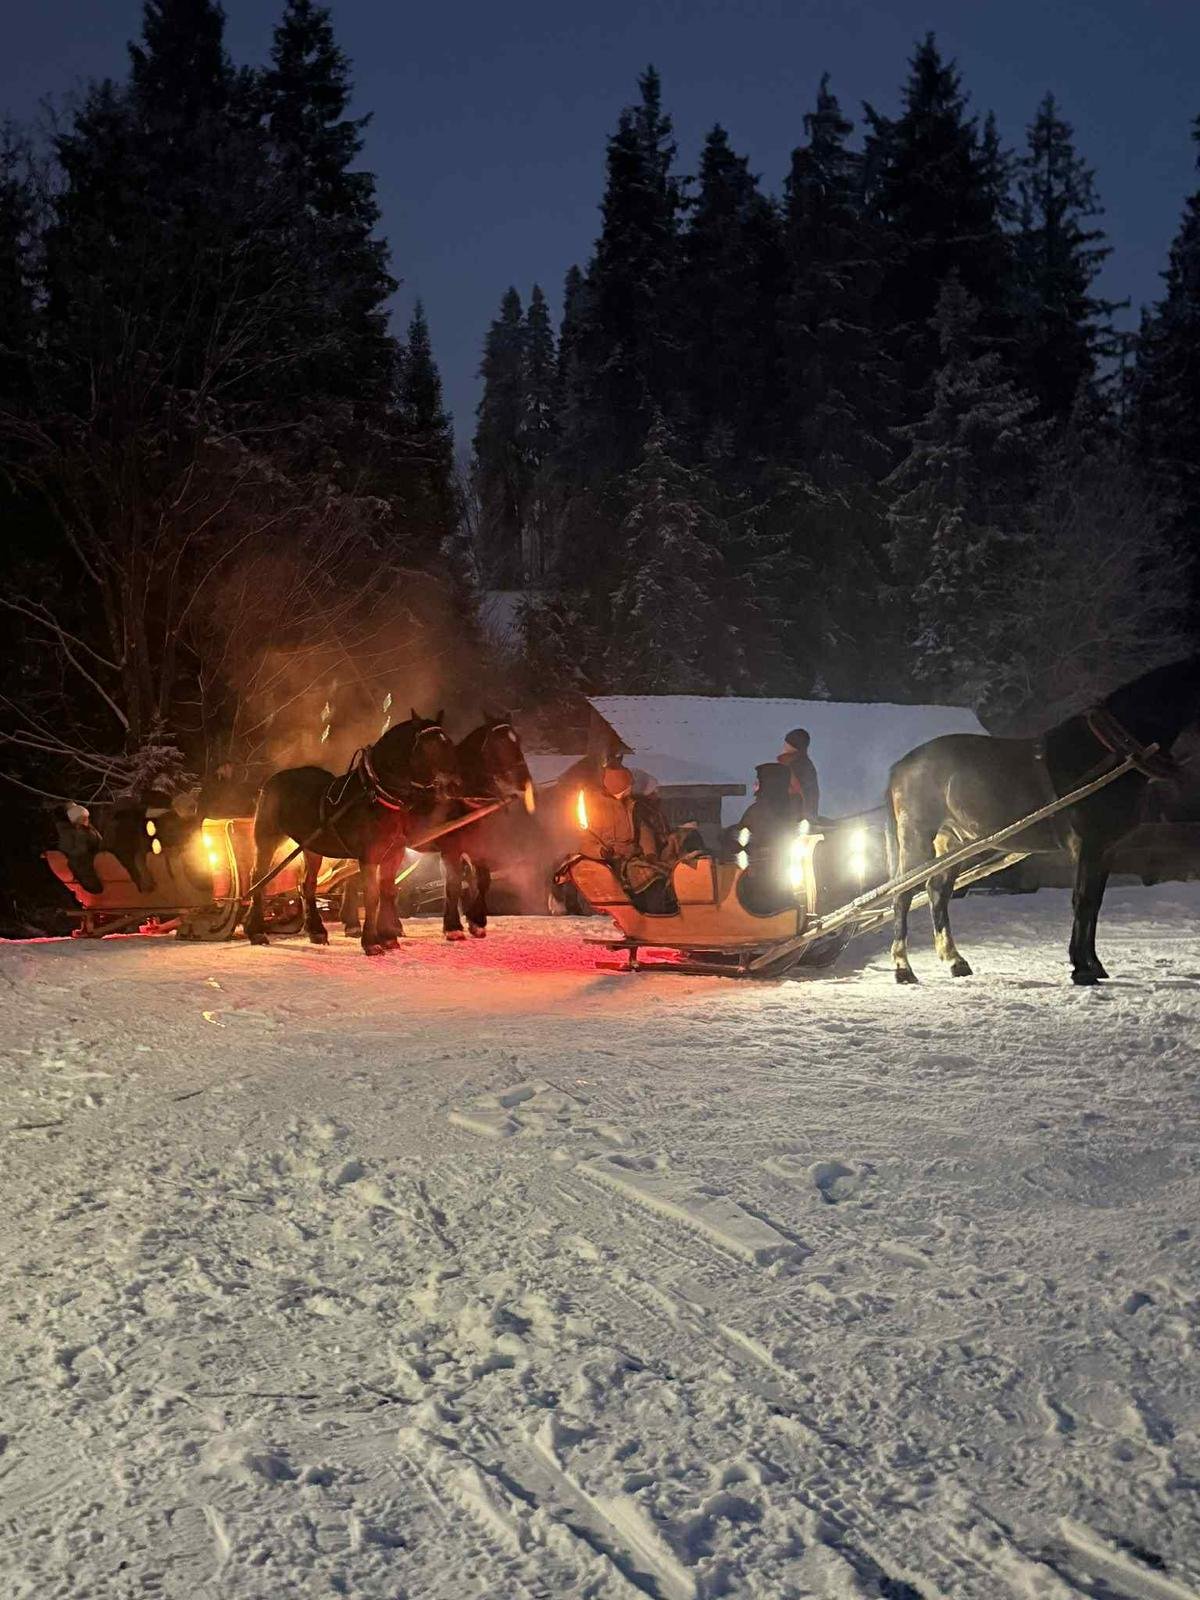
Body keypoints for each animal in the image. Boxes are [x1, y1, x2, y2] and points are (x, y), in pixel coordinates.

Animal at [244, 711, 459, 956]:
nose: (455, 785)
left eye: (449, 743)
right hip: (267, 839)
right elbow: (372, 896)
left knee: (307, 885)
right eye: (427, 746)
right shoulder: (368, 857)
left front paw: (388, 937)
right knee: (258, 879)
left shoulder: (393, 853)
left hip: (312, 847)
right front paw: (371, 942)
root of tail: (272, 781)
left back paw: (316, 931)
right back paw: (256, 931)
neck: (377, 795)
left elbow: (387, 892)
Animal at [886, 656, 1200, 986]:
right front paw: (1082, 969)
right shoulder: (1088, 846)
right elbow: (1082, 901)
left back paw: (955, 961)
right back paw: (903, 968)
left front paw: (1094, 965)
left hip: (952, 842)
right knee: (902, 894)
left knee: (937, 892)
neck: (1111, 754)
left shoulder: (1106, 850)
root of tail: (901, 766)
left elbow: (1094, 904)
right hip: (917, 839)